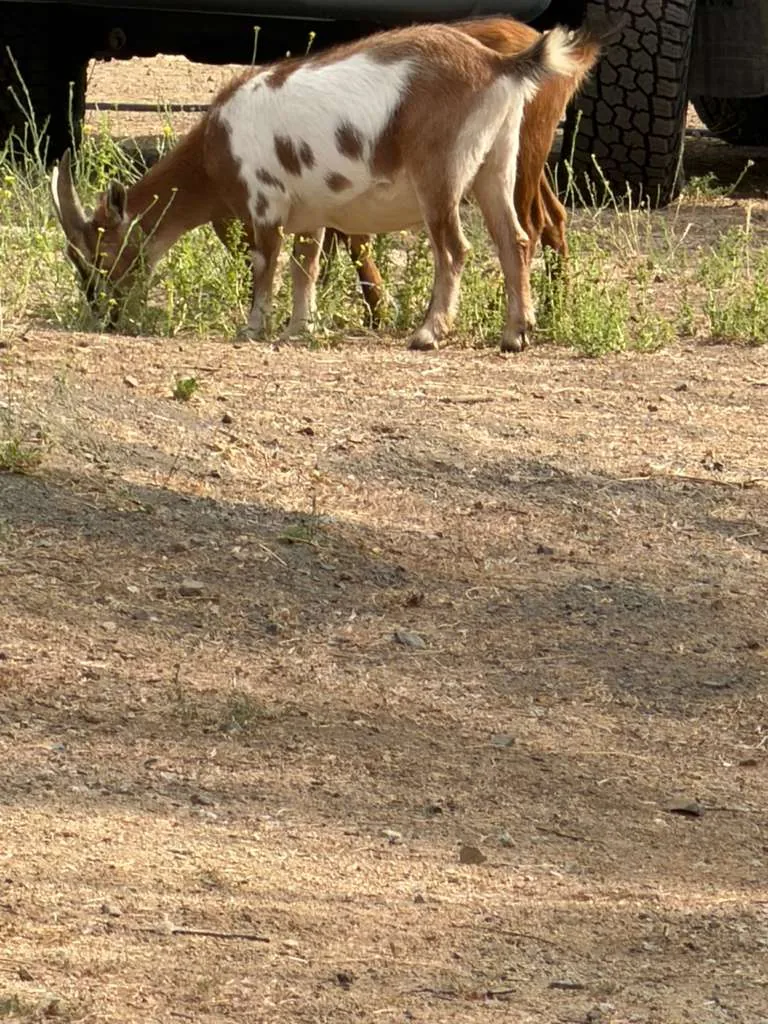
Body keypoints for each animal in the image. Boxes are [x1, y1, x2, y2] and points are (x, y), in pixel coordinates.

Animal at [52, 20, 596, 352]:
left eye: (99, 255)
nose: (103, 314)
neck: (215, 144)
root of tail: (498, 66)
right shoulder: (308, 215)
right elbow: (304, 267)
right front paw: (300, 327)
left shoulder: (264, 205)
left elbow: (265, 267)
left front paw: (252, 327)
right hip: (498, 161)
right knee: (514, 238)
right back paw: (515, 334)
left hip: (440, 169)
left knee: (454, 247)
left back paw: (428, 333)